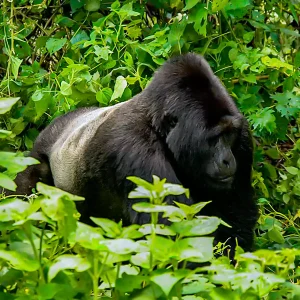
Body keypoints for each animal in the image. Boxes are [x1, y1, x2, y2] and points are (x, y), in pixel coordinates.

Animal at [9, 52, 258, 256]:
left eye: (229, 135)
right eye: (213, 139)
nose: (228, 160)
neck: (156, 125)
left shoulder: (243, 135)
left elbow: (235, 215)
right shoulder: (136, 151)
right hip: (40, 150)